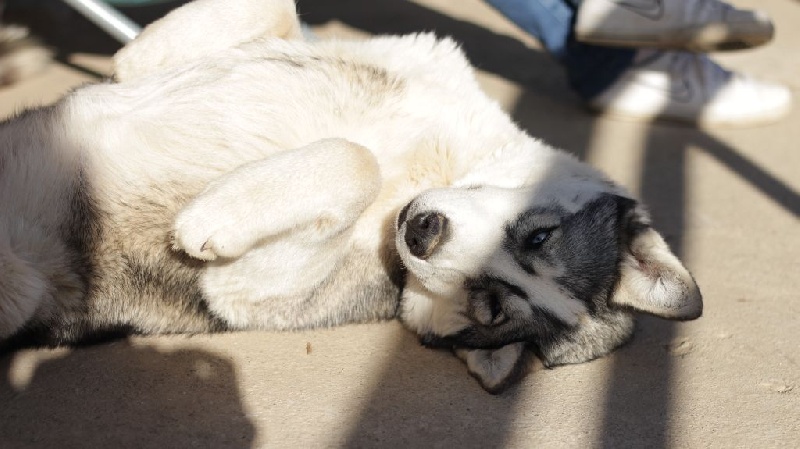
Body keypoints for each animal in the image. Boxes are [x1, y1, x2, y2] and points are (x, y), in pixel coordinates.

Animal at [0, 0, 700, 392]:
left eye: (490, 308)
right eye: (538, 235)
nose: (421, 231)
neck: (424, 170)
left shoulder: (243, 292)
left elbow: (352, 158)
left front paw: (214, 216)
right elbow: (237, 19)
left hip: (23, 290)